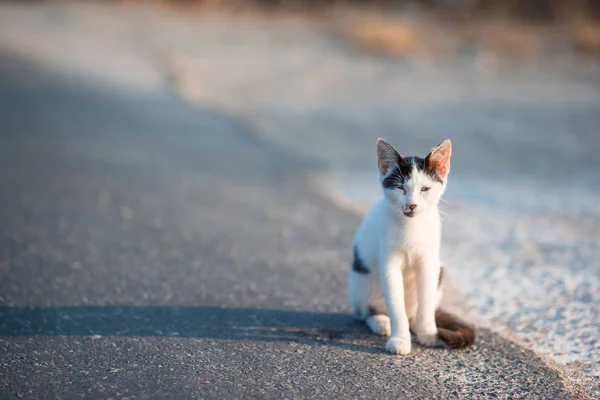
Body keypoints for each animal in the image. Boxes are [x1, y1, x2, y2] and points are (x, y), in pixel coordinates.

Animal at [350, 139, 476, 354]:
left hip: (439, 270)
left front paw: (428, 333)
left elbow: (426, 300)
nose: (412, 205)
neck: (412, 226)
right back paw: (380, 321)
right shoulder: (389, 264)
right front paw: (400, 339)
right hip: (360, 280)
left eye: (425, 189)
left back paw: (418, 325)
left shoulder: (429, 262)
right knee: (365, 310)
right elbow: (395, 305)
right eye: (401, 188)